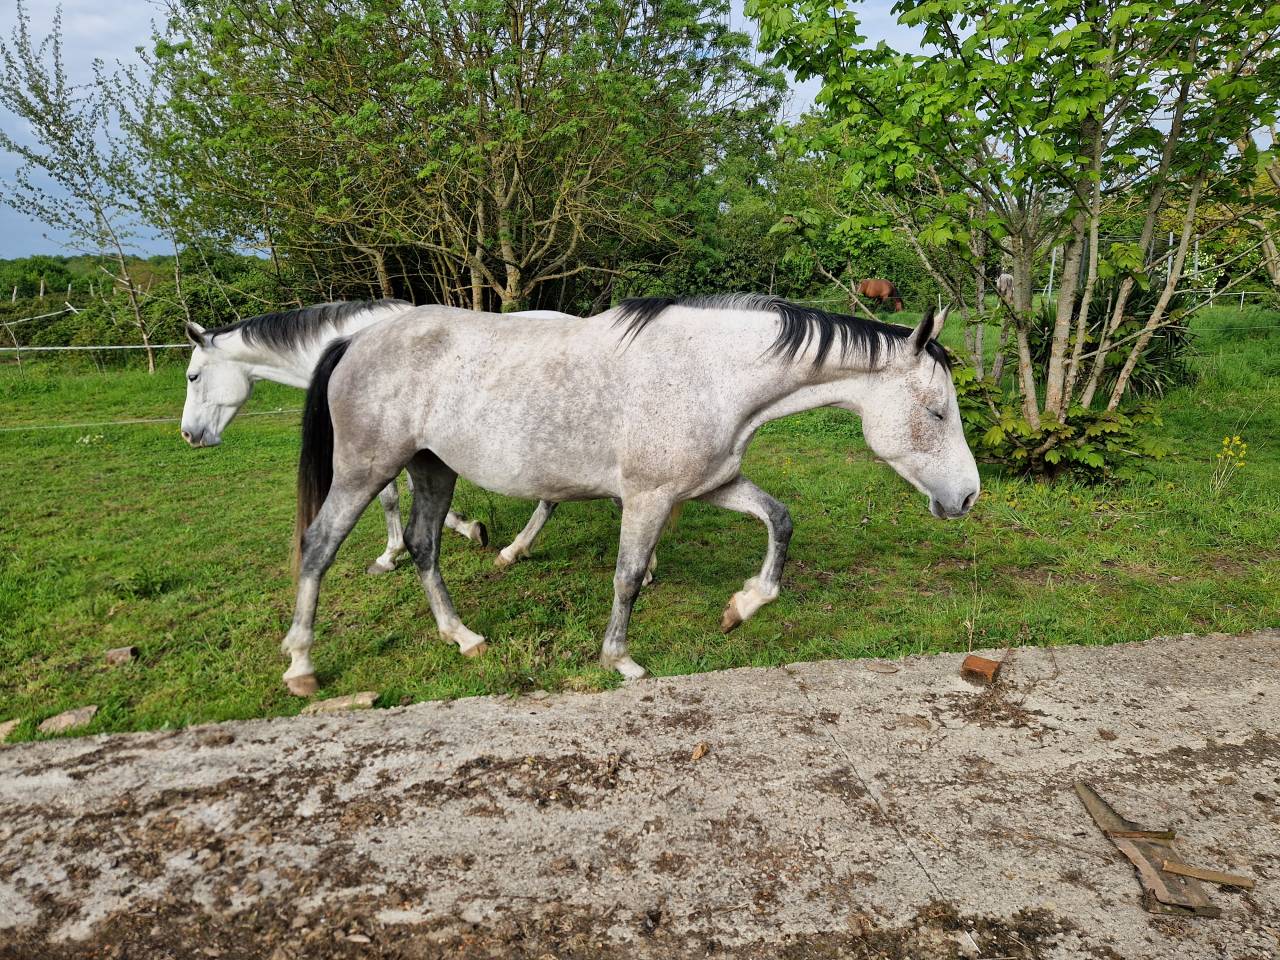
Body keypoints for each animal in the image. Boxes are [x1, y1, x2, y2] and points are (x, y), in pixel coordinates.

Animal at [180, 299, 574, 573]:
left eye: (192, 376)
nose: (189, 434)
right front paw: (471, 528)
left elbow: (390, 499)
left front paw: (390, 555)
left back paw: (513, 551)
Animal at [278, 294, 980, 696]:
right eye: (938, 412)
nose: (968, 498)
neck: (710, 373)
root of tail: (357, 340)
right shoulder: (648, 497)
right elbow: (628, 575)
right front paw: (620, 660)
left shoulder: (711, 485)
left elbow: (779, 521)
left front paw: (743, 607)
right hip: (367, 471)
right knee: (320, 546)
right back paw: (302, 666)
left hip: (433, 469)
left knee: (424, 546)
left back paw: (464, 637)